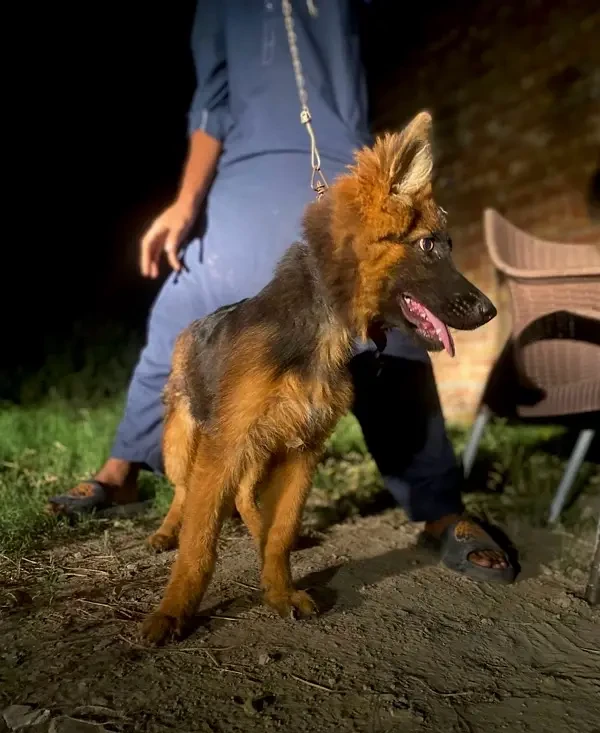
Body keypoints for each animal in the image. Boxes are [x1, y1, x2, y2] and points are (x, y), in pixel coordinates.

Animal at [141, 111, 496, 644]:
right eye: (428, 245)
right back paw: (166, 531)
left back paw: (255, 529)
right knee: (184, 491)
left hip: (261, 446)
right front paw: (174, 611)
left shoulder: (302, 450)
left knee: (245, 494)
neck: (321, 333)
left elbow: (282, 531)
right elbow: (199, 543)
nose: (490, 311)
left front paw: (279, 588)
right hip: (185, 440)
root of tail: (188, 327)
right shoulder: (226, 445)